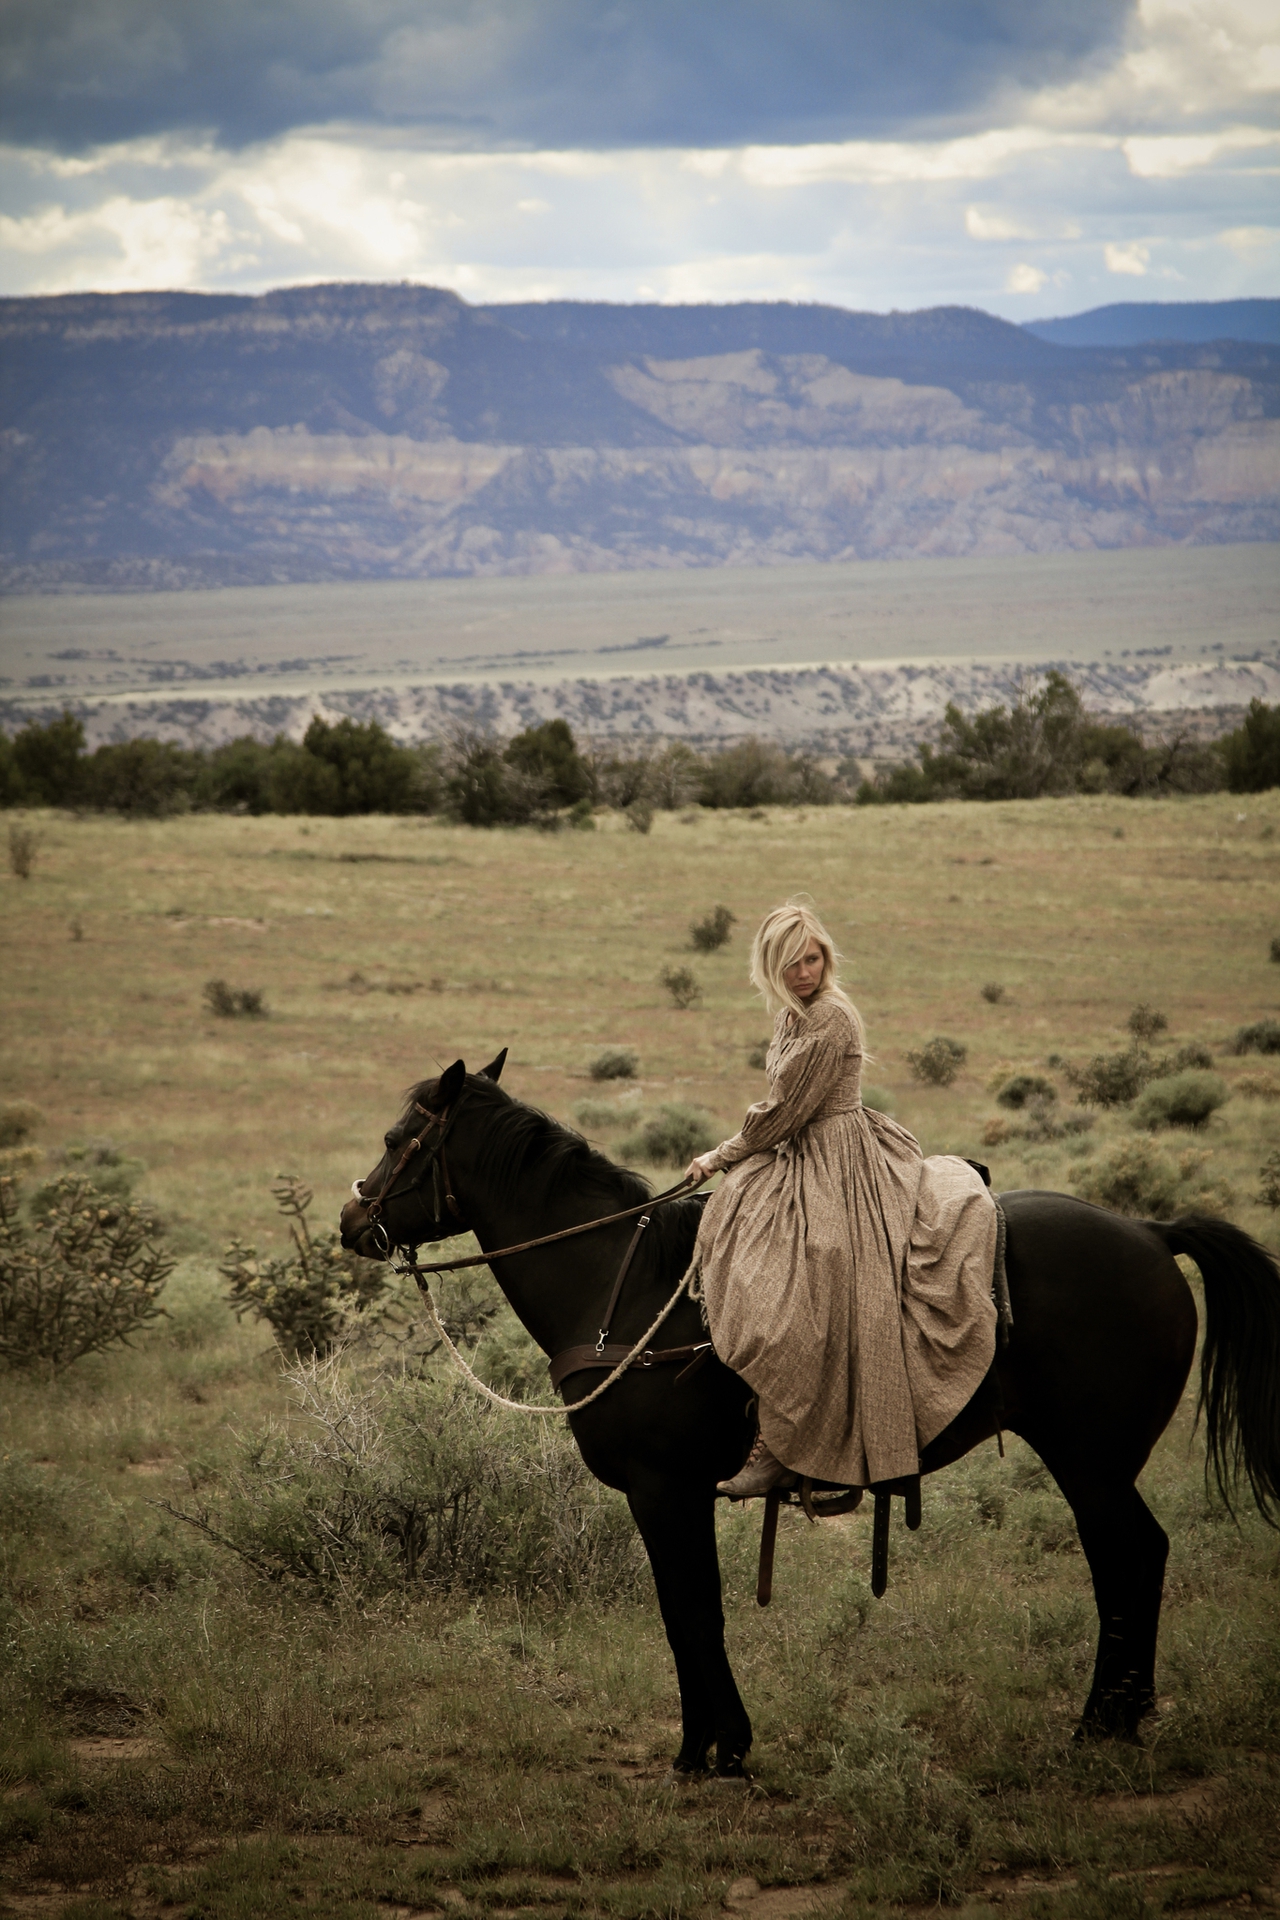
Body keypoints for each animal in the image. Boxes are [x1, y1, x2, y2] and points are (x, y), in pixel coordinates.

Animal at [339, 1059, 1280, 1774]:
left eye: (393, 1140)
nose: (352, 1218)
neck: (619, 1288)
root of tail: (1153, 1232)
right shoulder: (672, 1495)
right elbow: (691, 1610)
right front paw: (718, 1744)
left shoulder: (663, 1489)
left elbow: (690, 1611)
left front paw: (709, 1751)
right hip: (1099, 1464)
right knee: (1136, 1558)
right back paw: (1121, 1719)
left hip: (1090, 1460)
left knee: (1128, 1559)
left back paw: (1099, 1723)